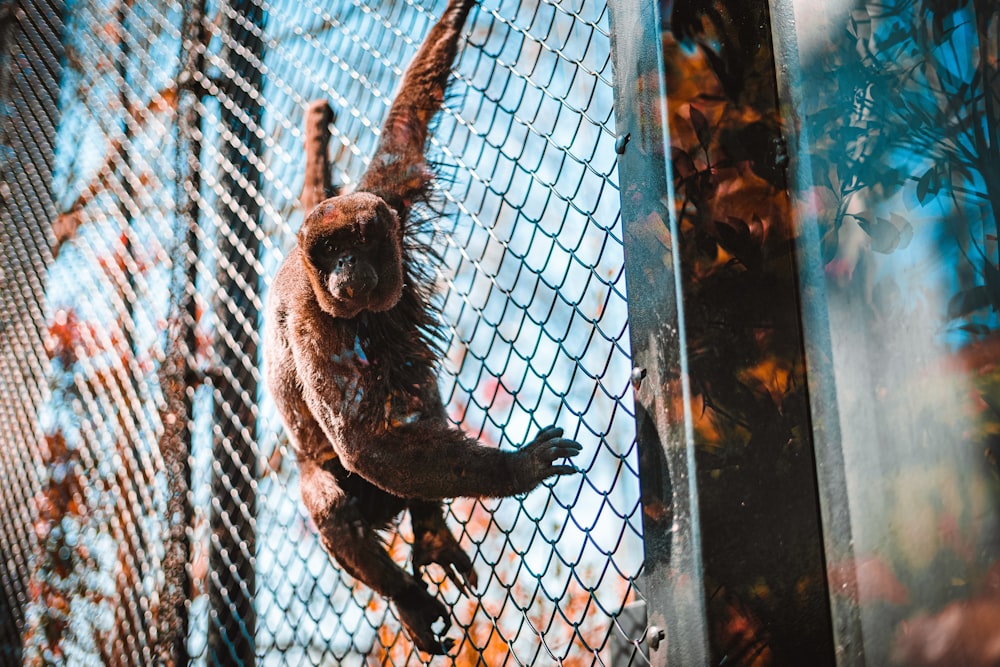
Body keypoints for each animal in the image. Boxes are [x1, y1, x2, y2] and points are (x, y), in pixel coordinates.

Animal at [262, 0, 584, 652]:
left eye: (357, 243)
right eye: (329, 253)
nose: (345, 269)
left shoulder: (385, 196)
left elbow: (407, 124)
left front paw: (459, 12)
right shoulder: (313, 317)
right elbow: (360, 443)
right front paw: (513, 470)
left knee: (414, 394)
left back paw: (430, 530)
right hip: (327, 472)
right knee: (333, 502)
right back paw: (406, 596)